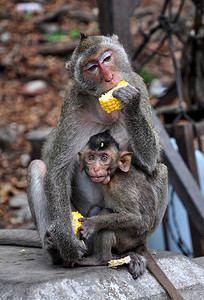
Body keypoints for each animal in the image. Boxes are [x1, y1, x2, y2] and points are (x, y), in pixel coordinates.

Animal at [25, 32, 165, 266]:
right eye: (91, 67)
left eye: (106, 58)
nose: (108, 77)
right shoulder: (71, 106)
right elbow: (57, 171)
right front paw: (67, 241)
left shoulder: (139, 86)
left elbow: (149, 162)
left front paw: (131, 104)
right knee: (37, 167)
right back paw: (54, 248)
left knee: (160, 170)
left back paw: (134, 248)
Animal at [78, 131, 185, 300]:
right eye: (91, 157)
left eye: (104, 158)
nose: (95, 169)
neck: (114, 175)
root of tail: (142, 242)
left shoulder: (119, 188)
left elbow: (136, 219)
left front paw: (92, 224)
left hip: (127, 239)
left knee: (108, 222)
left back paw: (100, 259)